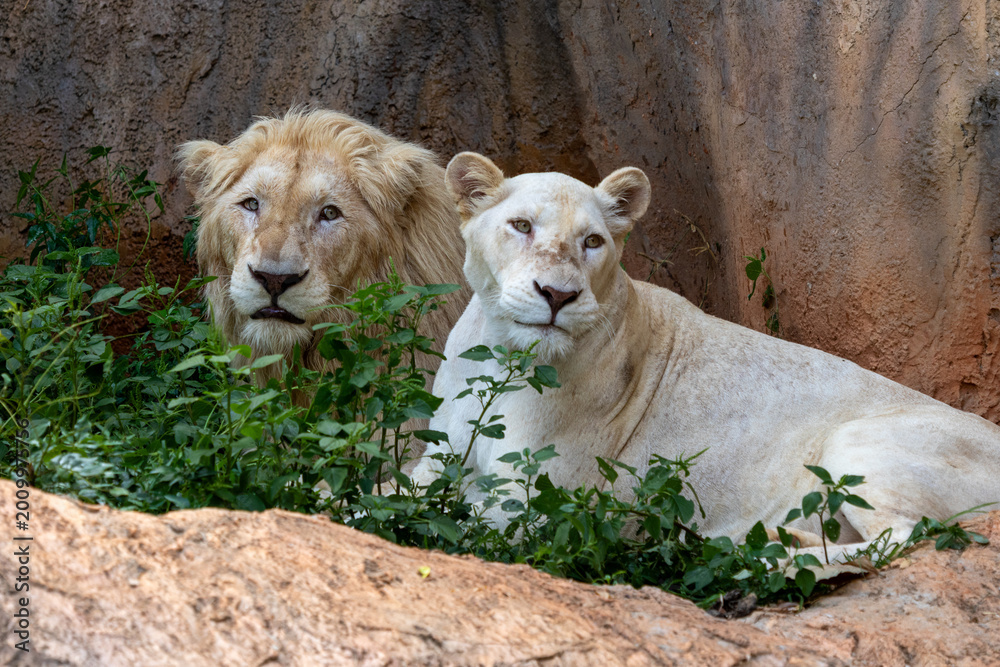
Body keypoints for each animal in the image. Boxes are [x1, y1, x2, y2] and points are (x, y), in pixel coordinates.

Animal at [412, 151, 1000, 561]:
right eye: (521, 226)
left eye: (593, 241)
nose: (558, 295)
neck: (499, 354)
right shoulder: (438, 458)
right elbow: (400, 490)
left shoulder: (534, 505)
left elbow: (434, 520)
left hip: (857, 441)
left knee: (908, 537)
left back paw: (761, 552)